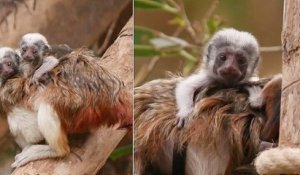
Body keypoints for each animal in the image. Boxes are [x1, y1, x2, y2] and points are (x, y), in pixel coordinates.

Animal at [0, 47, 132, 167]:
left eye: (8, 64)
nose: (6, 70)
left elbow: (26, 129)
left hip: (80, 109)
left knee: (48, 106)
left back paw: (57, 150)